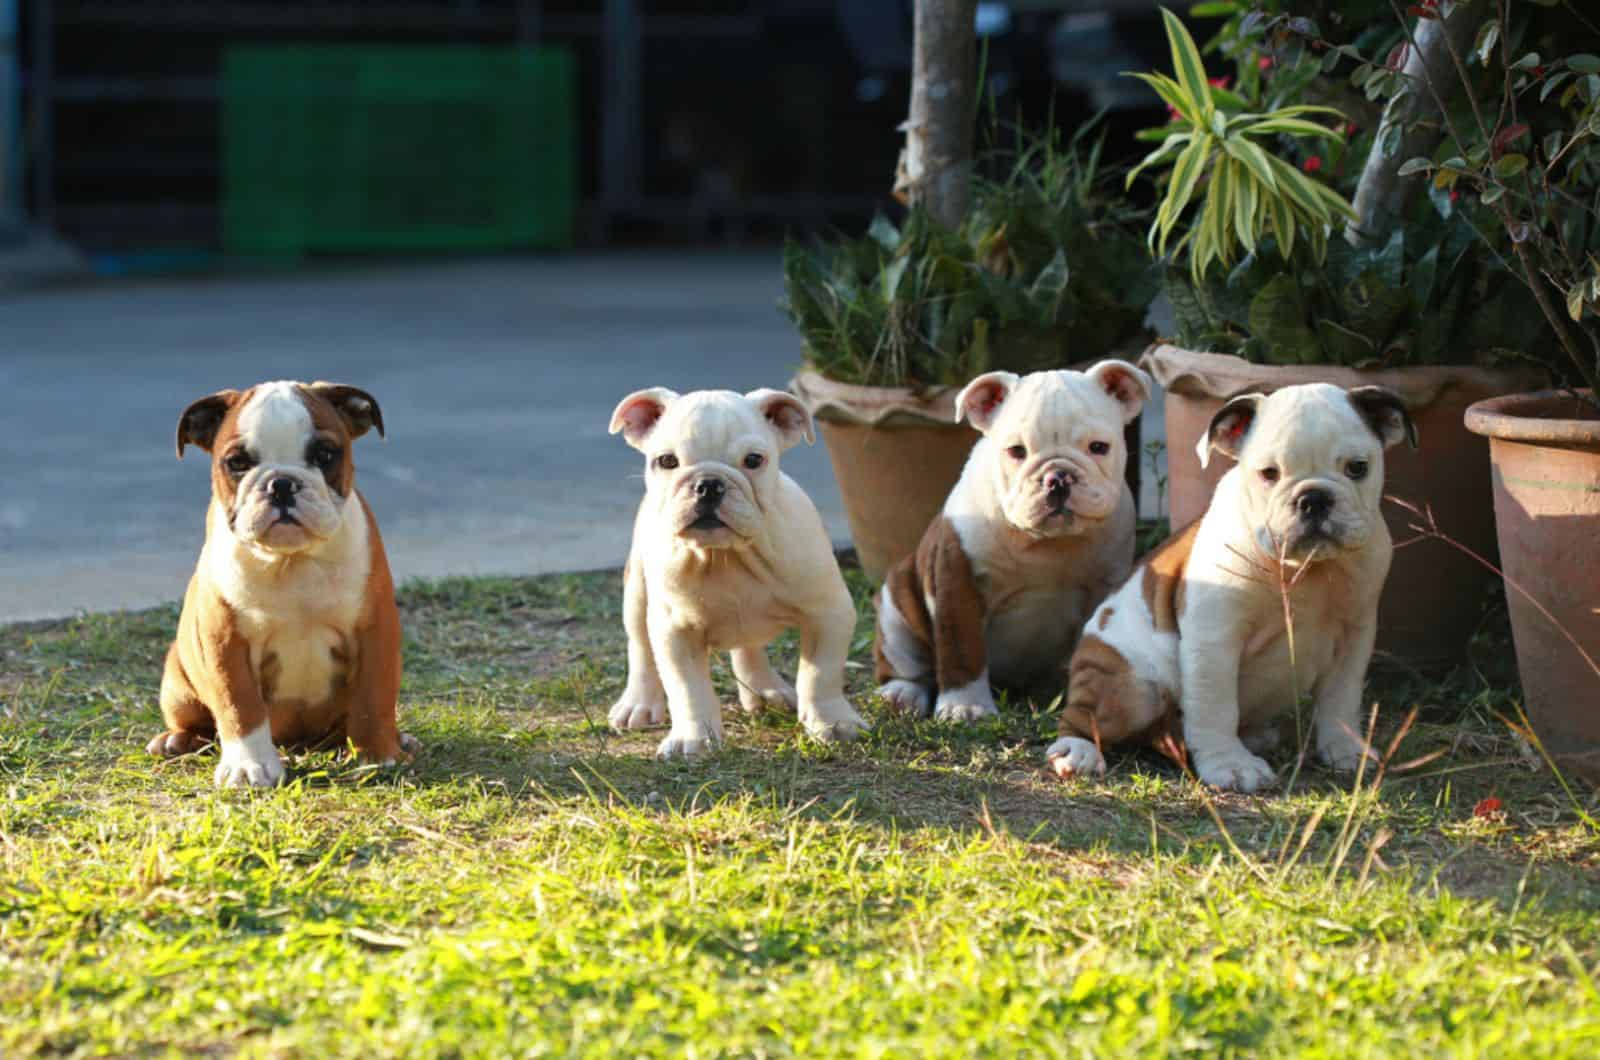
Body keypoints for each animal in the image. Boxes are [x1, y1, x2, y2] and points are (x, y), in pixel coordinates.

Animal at [148, 382, 412, 787]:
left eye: (325, 454)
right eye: (237, 463)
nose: (282, 483)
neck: (291, 561)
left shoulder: (374, 631)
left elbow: (372, 698)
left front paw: (377, 756)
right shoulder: (225, 641)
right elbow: (239, 705)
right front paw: (249, 766)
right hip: (177, 681)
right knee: (195, 721)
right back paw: (176, 741)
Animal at [604, 385, 870, 758]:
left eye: (754, 460)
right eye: (666, 461)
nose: (708, 484)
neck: (727, 555)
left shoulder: (828, 613)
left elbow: (821, 675)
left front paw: (832, 722)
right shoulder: (675, 631)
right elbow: (687, 689)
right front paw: (693, 738)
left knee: (748, 647)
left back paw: (765, 691)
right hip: (637, 594)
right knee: (641, 647)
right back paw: (638, 704)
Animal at [876, 363, 1152, 723]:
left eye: (1098, 447)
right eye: (1016, 451)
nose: (1058, 477)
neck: (1047, 544)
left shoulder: (1106, 587)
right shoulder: (958, 582)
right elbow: (962, 649)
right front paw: (966, 705)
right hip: (895, 606)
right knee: (906, 664)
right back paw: (901, 693)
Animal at [1049, 385, 1414, 794]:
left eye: (1357, 468)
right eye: (1269, 474)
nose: (1314, 498)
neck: (1305, 570)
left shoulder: (1353, 638)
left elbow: (1342, 699)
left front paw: (1346, 750)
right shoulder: (1215, 639)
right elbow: (1216, 706)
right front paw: (1230, 765)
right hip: (1133, 688)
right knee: (1083, 717)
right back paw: (1077, 750)